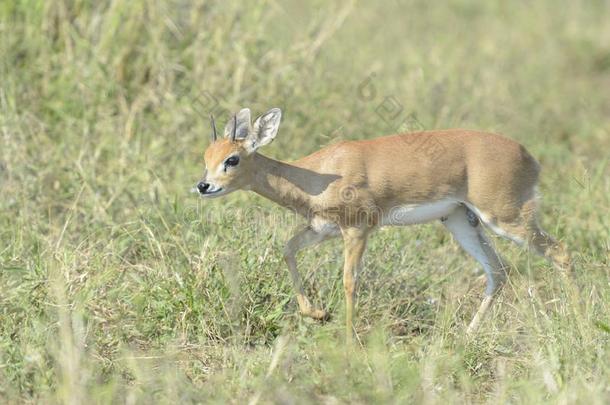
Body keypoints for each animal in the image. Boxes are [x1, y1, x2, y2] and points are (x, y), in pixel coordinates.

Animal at [196, 106, 568, 340]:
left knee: (561, 252)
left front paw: (347, 339)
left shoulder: (358, 230)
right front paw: (318, 314)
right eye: (206, 157)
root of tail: (528, 156)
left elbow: (349, 281)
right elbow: (287, 250)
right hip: (461, 220)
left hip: (505, 217)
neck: (320, 174)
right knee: (499, 271)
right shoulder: (321, 230)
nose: (204, 186)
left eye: (232, 159)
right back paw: (466, 335)